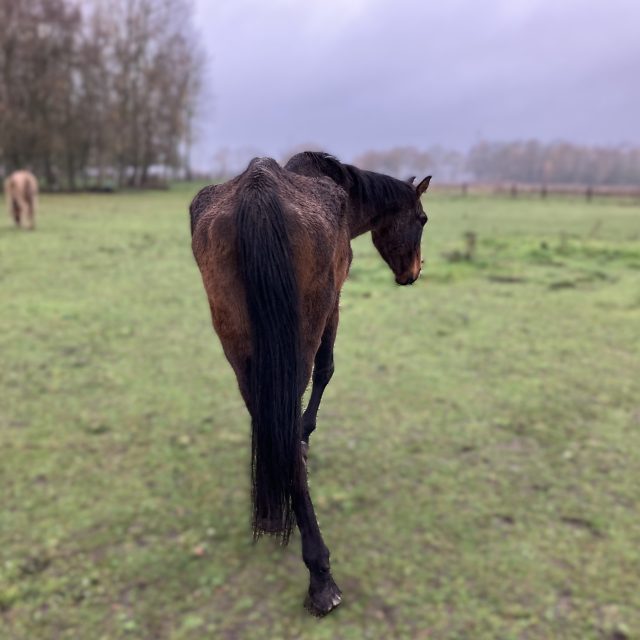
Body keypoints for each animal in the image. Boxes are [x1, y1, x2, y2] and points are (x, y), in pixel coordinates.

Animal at [190, 154, 431, 616]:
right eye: (423, 218)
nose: (413, 272)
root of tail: (258, 191)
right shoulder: (335, 304)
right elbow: (326, 372)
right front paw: (305, 435)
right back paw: (320, 575)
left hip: (239, 345)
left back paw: (270, 508)